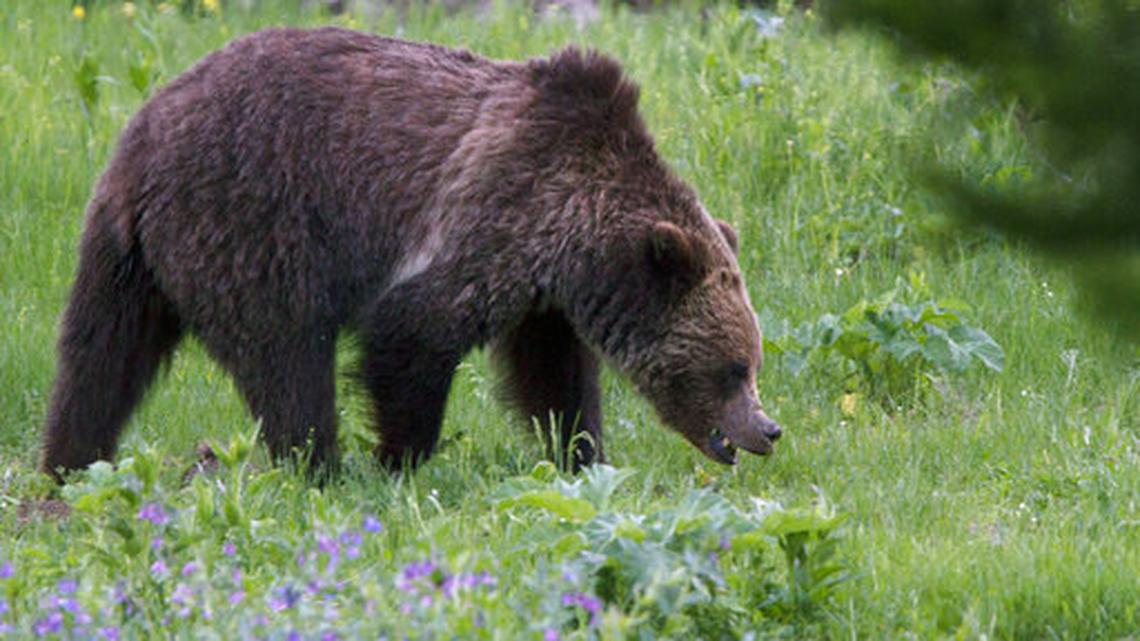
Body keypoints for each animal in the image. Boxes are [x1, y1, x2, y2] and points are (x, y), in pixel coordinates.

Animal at [40, 27, 782, 481]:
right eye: (733, 367)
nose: (767, 428)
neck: (576, 234)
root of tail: (142, 141)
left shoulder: (543, 293)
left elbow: (553, 375)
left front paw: (581, 453)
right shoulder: (494, 211)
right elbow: (412, 331)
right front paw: (400, 459)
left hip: (129, 259)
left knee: (99, 359)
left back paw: (68, 465)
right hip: (250, 222)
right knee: (287, 359)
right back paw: (321, 466)